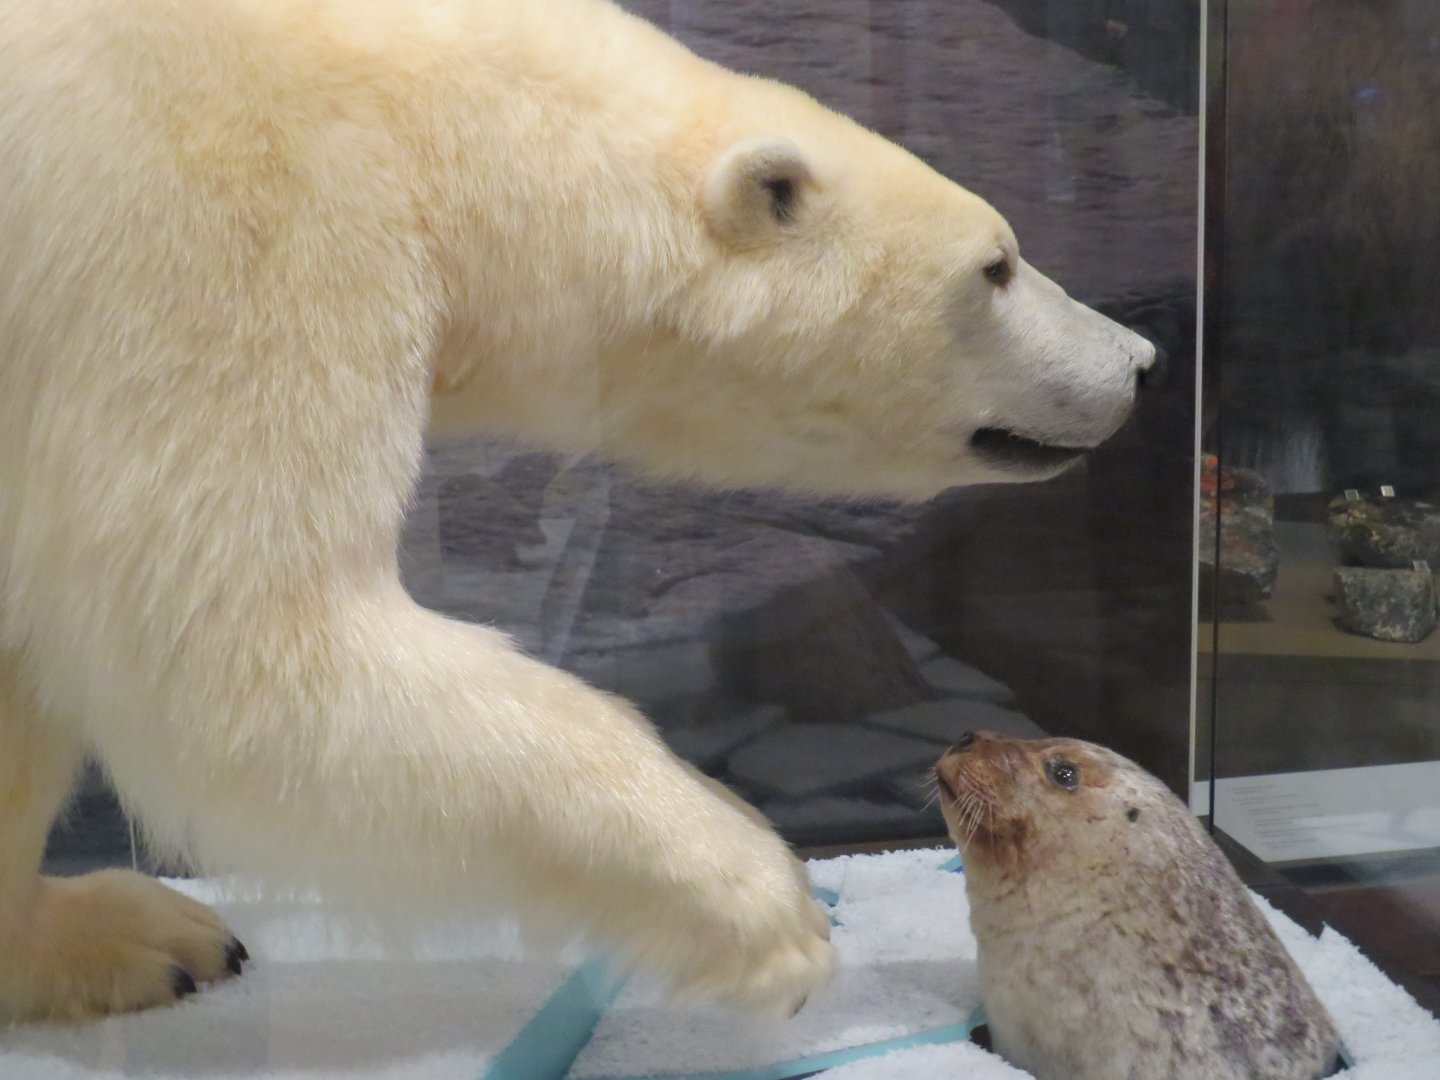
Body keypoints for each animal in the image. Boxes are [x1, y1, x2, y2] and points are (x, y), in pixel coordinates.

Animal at [0, 0, 1154, 1023]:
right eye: (996, 265)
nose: (1138, 359)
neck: (419, 113)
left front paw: (93, 941)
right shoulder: (209, 214)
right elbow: (240, 637)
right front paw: (763, 904)